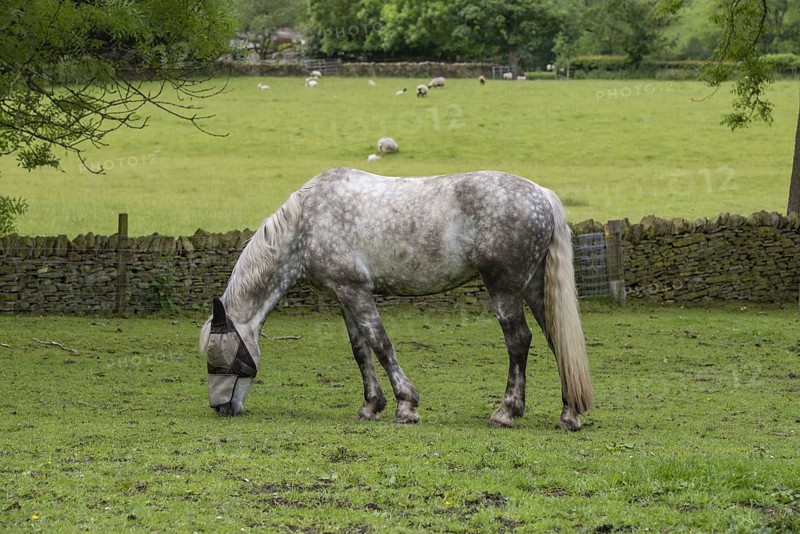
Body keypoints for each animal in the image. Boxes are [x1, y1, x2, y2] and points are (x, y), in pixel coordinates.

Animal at [200, 168, 594, 430]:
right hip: (533, 289)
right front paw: (371, 406)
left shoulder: (356, 291)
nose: (220, 408)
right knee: (557, 340)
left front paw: (406, 406)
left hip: (505, 289)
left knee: (519, 341)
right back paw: (569, 414)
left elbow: (380, 344)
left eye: (222, 358)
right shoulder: (345, 295)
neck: (308, 221)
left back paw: (507, 411)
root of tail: (541, 194)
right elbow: (360, 350)